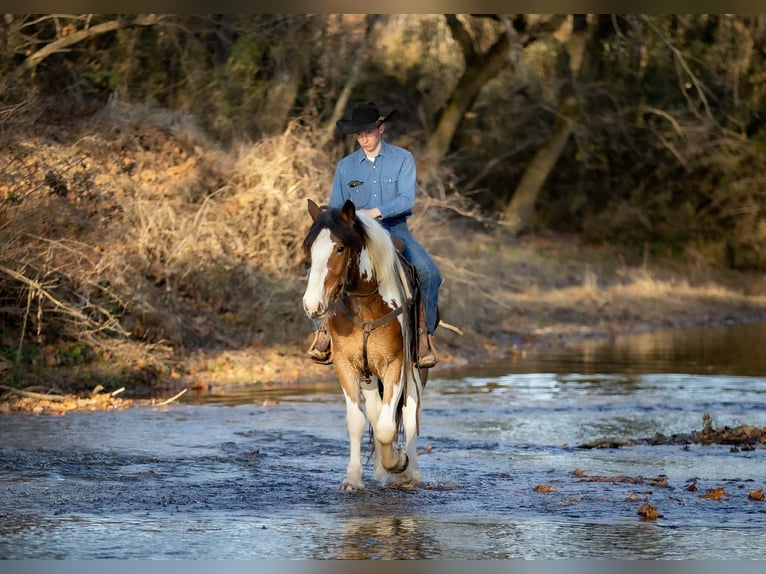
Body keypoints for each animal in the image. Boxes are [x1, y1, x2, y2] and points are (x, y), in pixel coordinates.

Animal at [302, 198, 426, 490]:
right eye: (310, 248)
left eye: (339, 247)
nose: (312, 305)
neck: (366, 305)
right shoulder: (346, 366)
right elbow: (358, 421)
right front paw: (354, 478)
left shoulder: (395, 366)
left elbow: (388, 427)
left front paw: (398, 462)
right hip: (369, 375)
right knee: (375, 411)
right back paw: (380, 471)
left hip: (413, 369)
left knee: (410, 412)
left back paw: (411, 473)